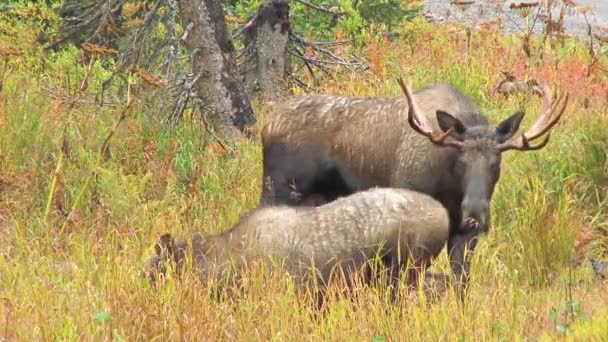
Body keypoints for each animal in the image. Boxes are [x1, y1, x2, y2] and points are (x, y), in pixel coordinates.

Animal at [258, 76, 568, 298]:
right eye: (461, 160)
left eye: (496, 161)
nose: (475, 213)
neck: (451, 190)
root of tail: (266, 125)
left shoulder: (462, 236)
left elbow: (461, 285)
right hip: (277, 191)